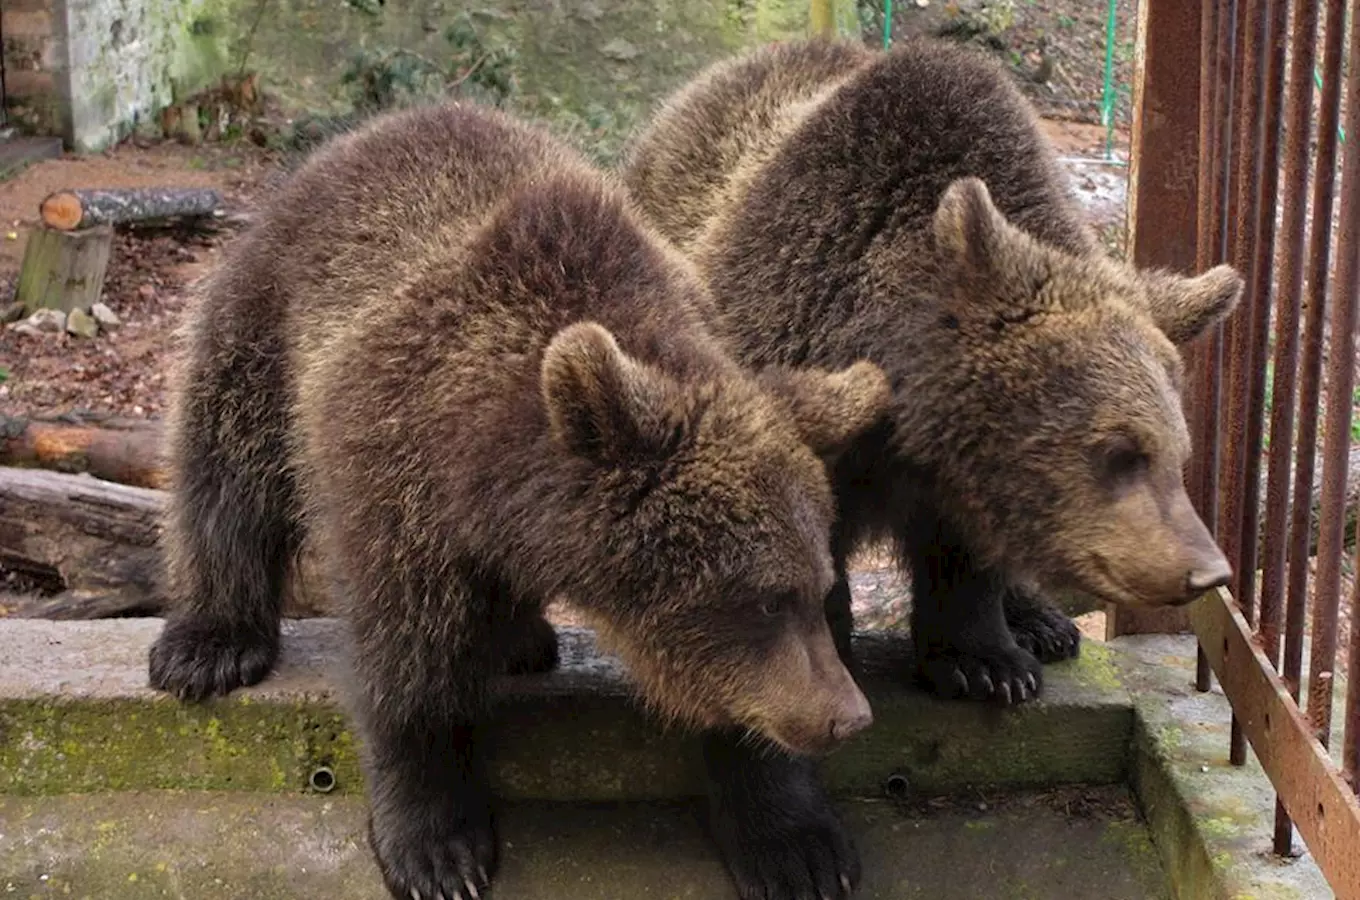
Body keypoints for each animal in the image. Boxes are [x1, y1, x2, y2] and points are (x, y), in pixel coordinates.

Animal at [148, 98, 892, 900]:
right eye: (763, 598)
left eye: (817, 587)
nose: (850, 717)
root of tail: (368, 134)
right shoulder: (400, 482)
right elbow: (407, 661)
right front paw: (438, 847)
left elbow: (743, 706)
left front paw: (797, 845)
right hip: (268, 314)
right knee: (227, 460)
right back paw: (209, 643)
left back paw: (519, 638)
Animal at [625, 33, 1245, 897]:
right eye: (1120, 451)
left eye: (1177, 450)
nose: (1208, 572)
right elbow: (757, 633)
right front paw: (797, 848)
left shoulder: (961, 480)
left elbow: (966, 559)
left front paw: (987, 663)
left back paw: (1043, 623)